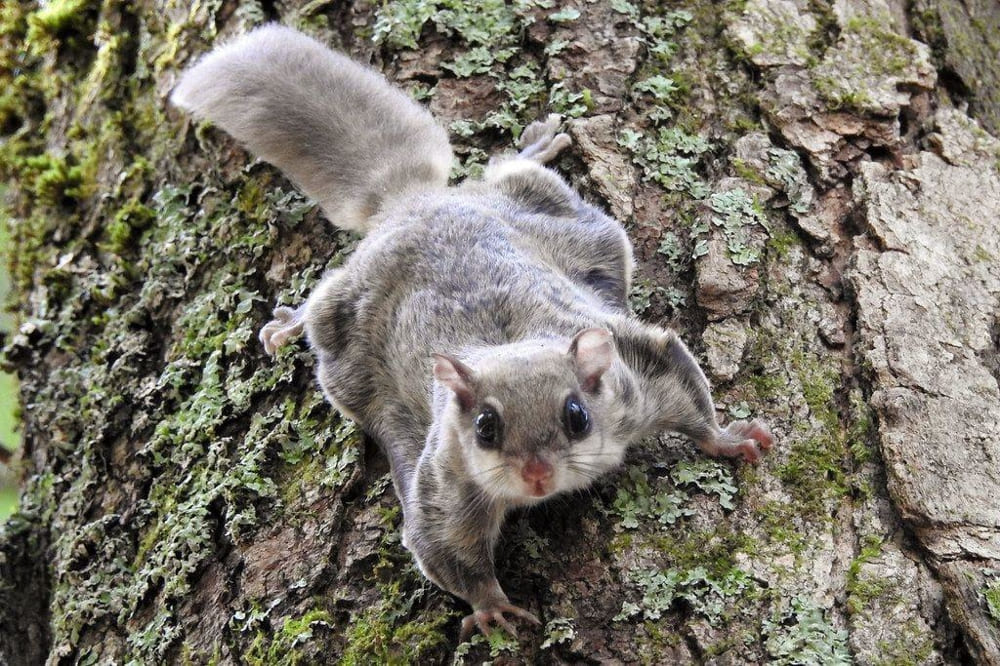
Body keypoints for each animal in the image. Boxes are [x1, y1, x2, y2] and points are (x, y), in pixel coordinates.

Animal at [171, 25, 774, 639]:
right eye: (485, 428)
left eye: (577, 416)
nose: (536, 475)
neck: (508, 346)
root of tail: (412, 201)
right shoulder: (447, 482)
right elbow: (444, 549)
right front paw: (491, 607)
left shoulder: (637, 374)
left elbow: (684, 390)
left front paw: (727, 440)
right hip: (342, 314)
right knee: (323, 298)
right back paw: (289, 324)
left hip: (553, 212)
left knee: (507, 171)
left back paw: (534, 146)